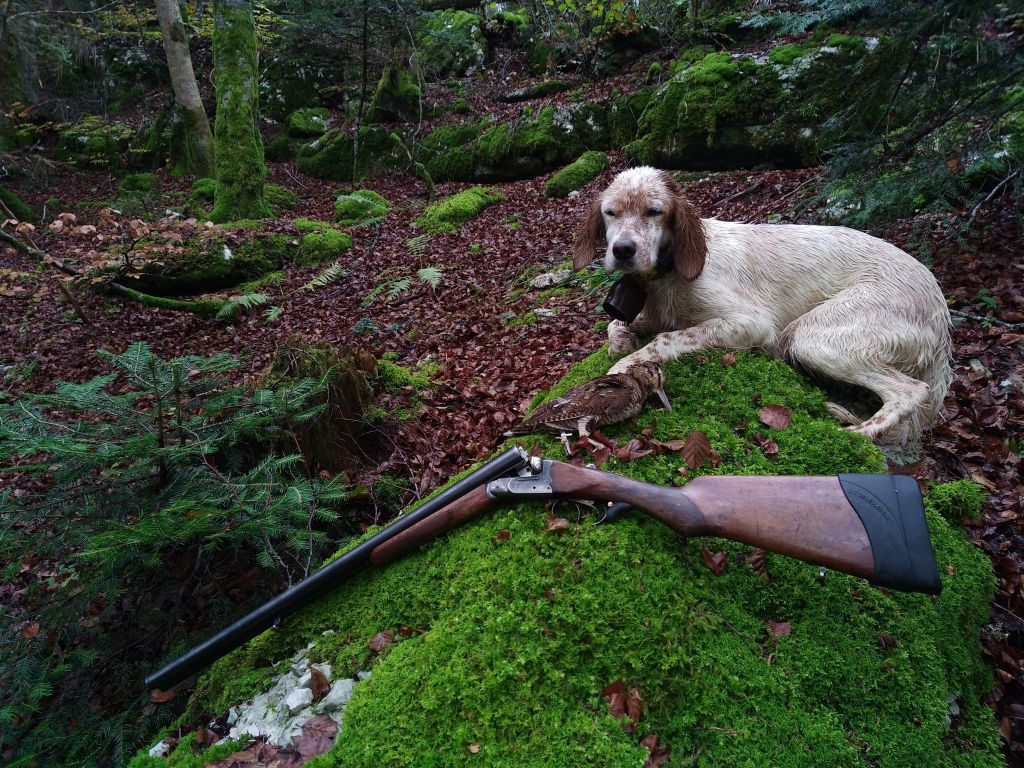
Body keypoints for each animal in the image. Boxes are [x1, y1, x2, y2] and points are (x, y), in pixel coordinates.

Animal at [577, 167, 950, 444]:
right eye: (611, 213)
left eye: (653, 211)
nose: (623, 250)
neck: (668, 273)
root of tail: (941, 312)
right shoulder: (653, 314)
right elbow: (616, 324)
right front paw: (622, 342)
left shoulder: (753, 324)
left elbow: (666, 339)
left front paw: (621, 367)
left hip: (812, 337)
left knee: (910, 390)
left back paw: (856, 432)